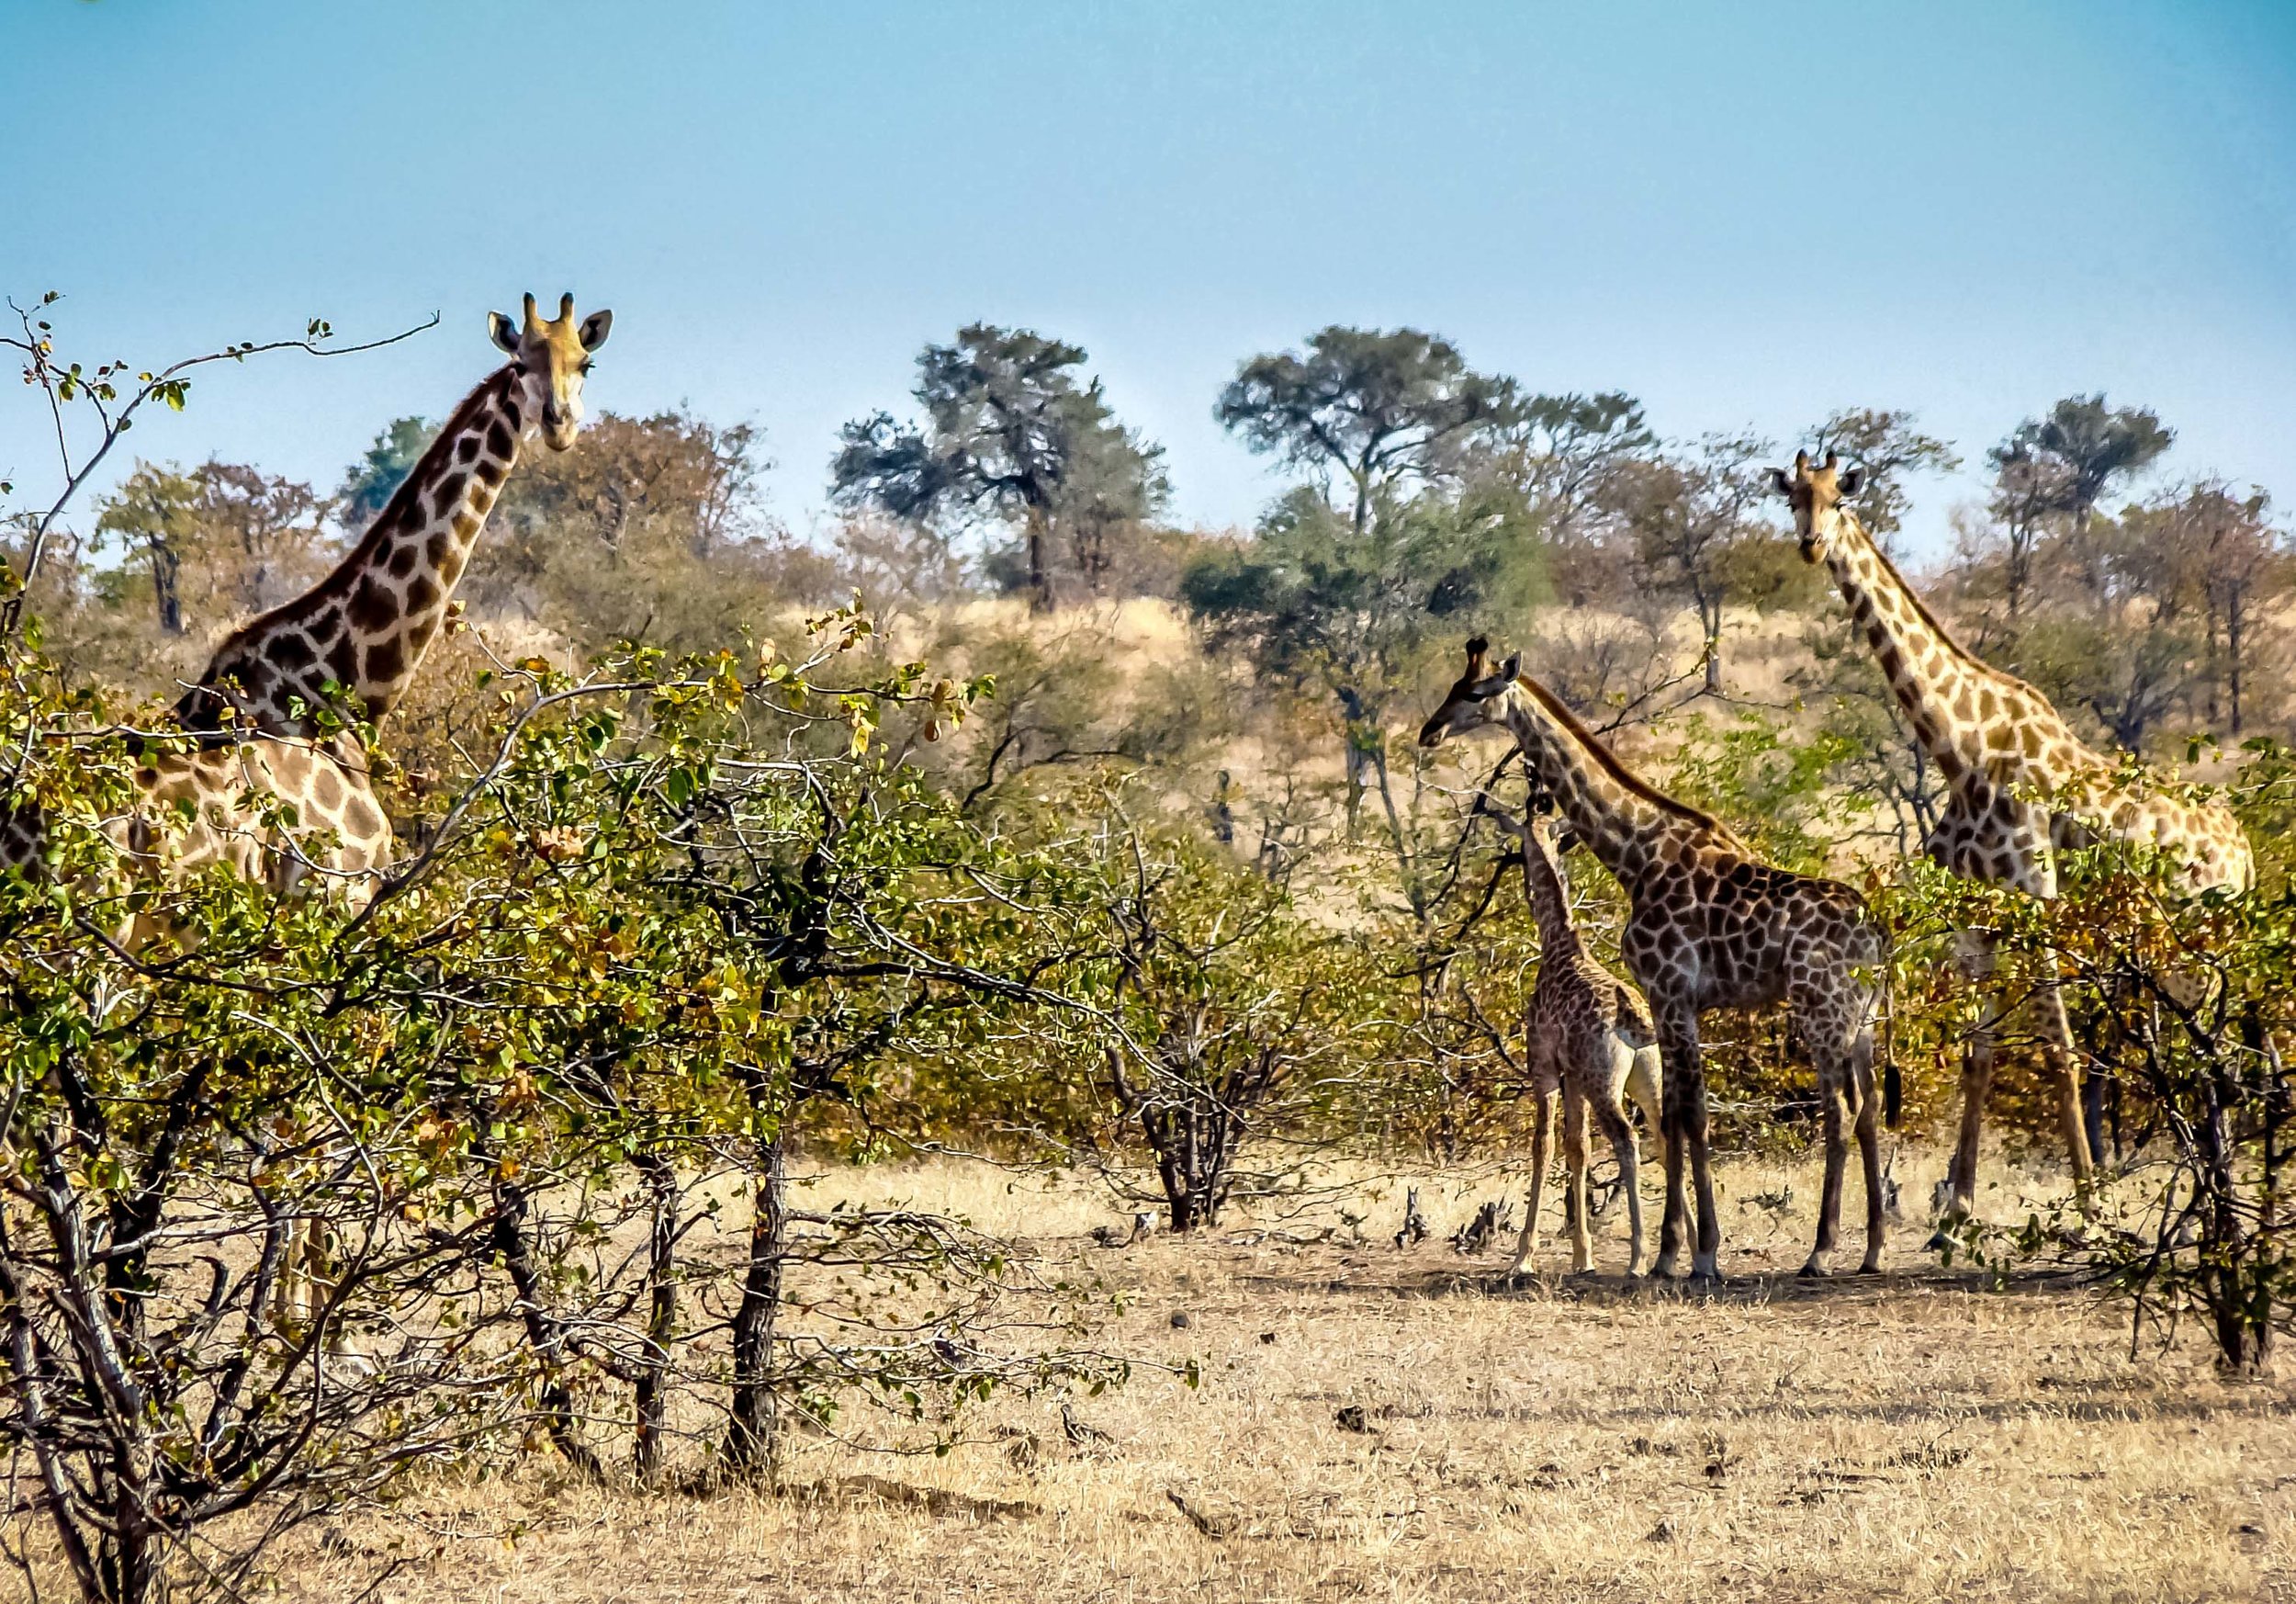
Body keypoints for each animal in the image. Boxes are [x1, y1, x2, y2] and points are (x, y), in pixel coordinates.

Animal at [3, 292, 612, 1331]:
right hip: (86, 955)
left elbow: (287, 1119)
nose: (561, 427)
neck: (342, 693)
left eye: (585, 362)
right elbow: (311, 1118)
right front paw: (304, 1316)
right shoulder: (332, 909)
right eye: (522, 363)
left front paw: (291, 1309)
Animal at [1476, 797, 1663, 1276]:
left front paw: (1522, 1256)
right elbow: (1578, 1148)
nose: (1521, 878)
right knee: (1668, 1135)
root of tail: (1632, 1017)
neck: (1558, 943)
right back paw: (1686, 1250)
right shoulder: (1574, 1077)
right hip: (1648, 1080)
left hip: (1604, 1083)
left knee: (1628, 1140)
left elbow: (1542, 1145)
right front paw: (1583, 1256)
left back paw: (1638, 1257)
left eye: (1521, 847)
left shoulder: (1543, 1066)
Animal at [1769, 450, 2252, 1222]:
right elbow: (1978, 1058)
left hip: (2203, 949)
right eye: (1794, 499)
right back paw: (2214, 1194)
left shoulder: (2038, 907)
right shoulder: (1977, 923)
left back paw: (2220, 1198)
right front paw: (1956, 1212)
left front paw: (2089, 1208)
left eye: (1840, 498)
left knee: (2217, 1058)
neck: (1962, 751)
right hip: (2181, 955)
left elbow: (2061, 1052)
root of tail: (2246, 855)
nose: (1812, 545)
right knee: (2209, 1058)